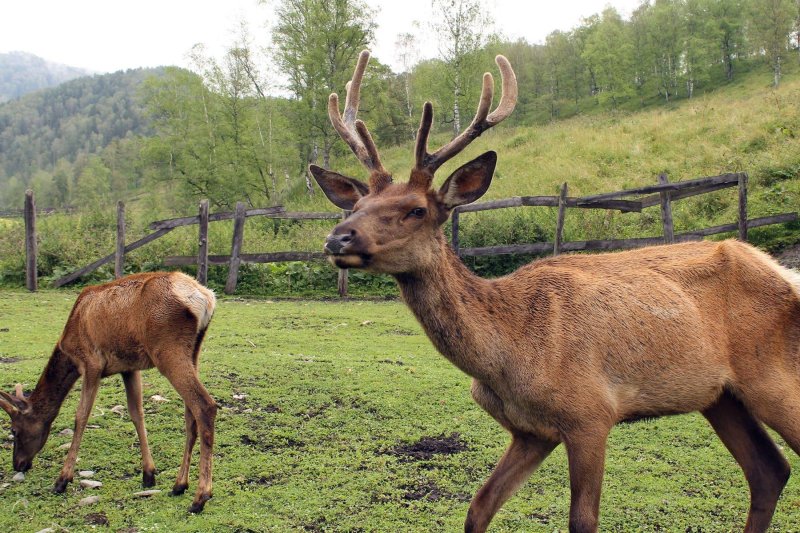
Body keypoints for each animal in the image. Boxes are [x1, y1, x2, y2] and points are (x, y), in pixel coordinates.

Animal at [0, 272, 217, 512]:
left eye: (14, 430)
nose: (18, 464)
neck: (68, 348)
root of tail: (206, 298)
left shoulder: (91, 363)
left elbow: (81, 416)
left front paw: (62, 479)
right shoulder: (129, 368)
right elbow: (136, 414)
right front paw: (149, 474)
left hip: (167, 350)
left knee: (205, 406)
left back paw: (201, 496)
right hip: (193, 351)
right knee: (190, 415)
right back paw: (180, 484)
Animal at [310, 48, 800, 528]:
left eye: (415, 210)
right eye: (358, 203)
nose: (338, 238)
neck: (508, 355)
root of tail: (781, 270)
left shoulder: (591, 414)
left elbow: (582, 520)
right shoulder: (530, 430)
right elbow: (478, 508)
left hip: (772, 376)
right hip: (719, 395)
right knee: (769, 471)